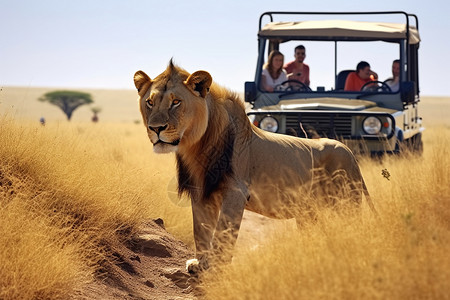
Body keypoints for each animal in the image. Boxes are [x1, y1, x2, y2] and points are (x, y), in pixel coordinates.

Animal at [134, 61, 376, 274]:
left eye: (176, 102)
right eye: (150, 102)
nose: (156, 128)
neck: (196, 147)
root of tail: (350, 152)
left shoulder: (236, 191)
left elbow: (223, 233)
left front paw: (216, 268)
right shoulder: (201, 191)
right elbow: (200, 230)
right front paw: (199, 264)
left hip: (346, 204)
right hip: (310, 212)